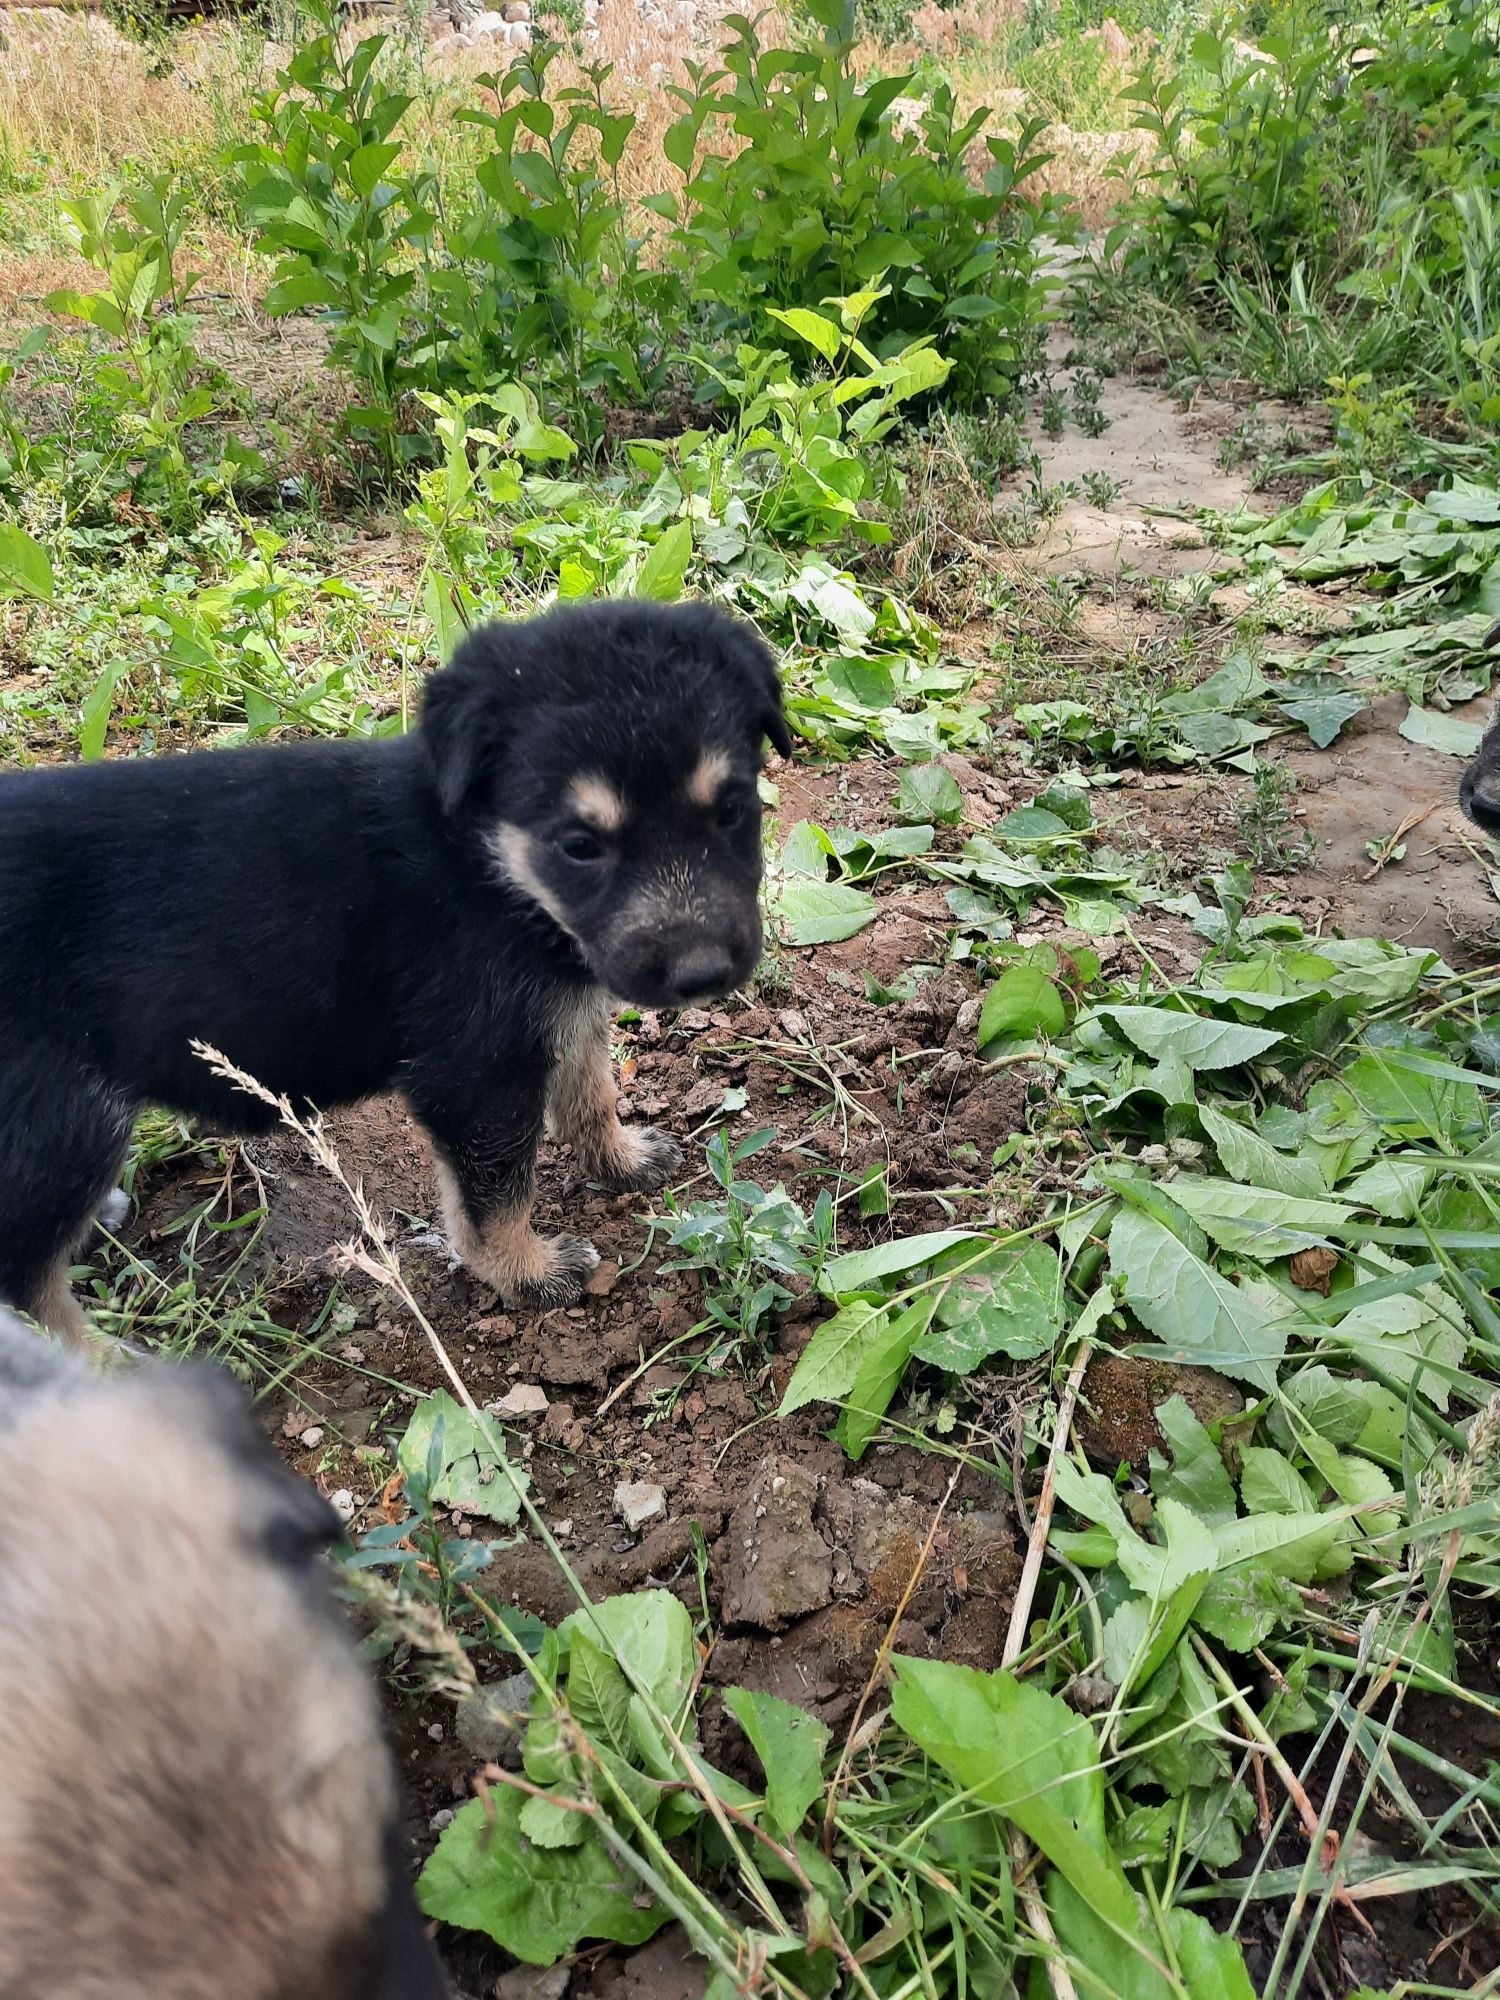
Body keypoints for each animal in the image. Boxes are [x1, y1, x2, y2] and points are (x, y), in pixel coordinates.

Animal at [0, 592, 792, 1344]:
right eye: (578, 845)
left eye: (733, 810)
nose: (703, 975)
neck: (485, 860)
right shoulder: (474, 1071)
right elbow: (497, 1193)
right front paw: (527, 1272)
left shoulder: (559, 1004)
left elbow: (589, 1089)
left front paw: (621, 1159)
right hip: (61, 1126)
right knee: (30, 1289)